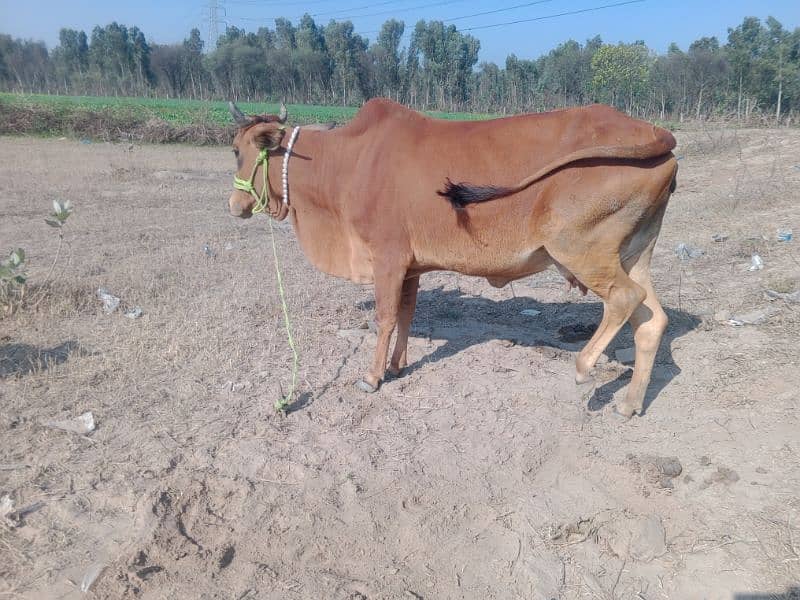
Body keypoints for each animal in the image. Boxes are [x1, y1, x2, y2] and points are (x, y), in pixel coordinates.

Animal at [225, 98, 676, 418]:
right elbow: (406, 314)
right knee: (652, 320)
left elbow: (385, 318)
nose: (235, 205)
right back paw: (630, 402)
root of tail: (655, 132)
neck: (347, 164)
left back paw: (584, 367)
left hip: (580, 249)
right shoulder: (410, 266)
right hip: (633, 253)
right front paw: (397, 365)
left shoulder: (387, 258)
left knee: (624, 299)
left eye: (236, 151)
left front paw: (372, 376)